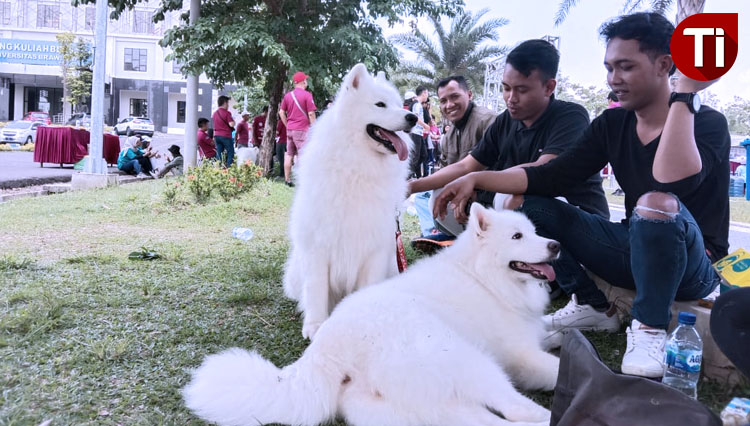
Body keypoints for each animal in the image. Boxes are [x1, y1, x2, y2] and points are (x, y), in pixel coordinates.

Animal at [185, 205, 564, 424]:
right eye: (517, 236)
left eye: (533, 232)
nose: (556, 245)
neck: (483, 278)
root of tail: (326, 348)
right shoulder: (521, 357)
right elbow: (557, 368)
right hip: (465, 360)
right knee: (513, 408)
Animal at [284, 62, 418, 340]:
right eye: (380, 105)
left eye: (399, 104)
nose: (412, 117)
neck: (358, 168)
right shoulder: (317, 247)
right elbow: (316, 290)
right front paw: (315, 325)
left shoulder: (376, 248)